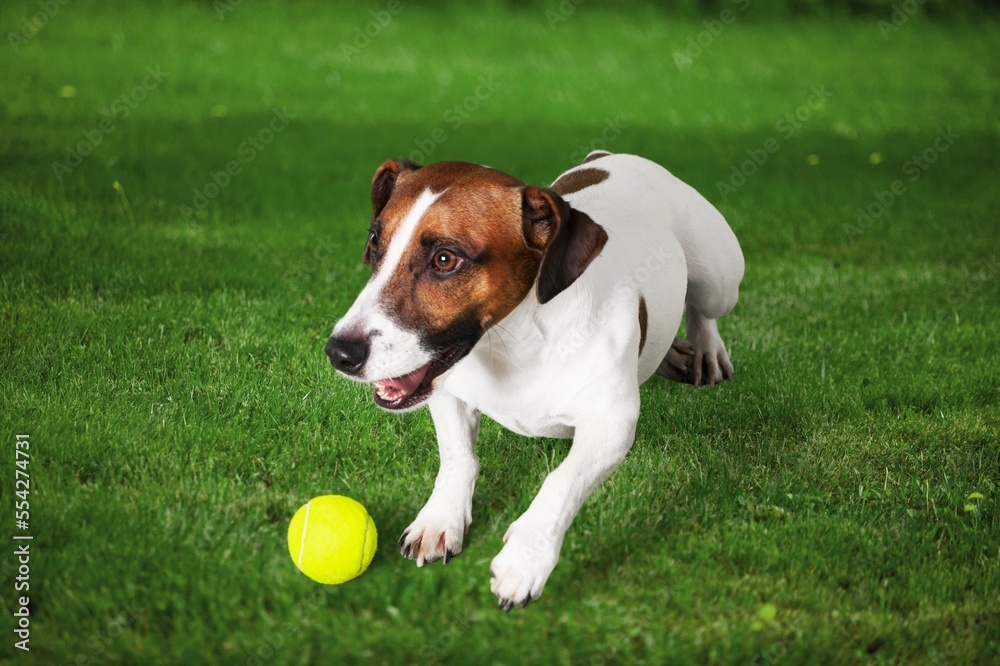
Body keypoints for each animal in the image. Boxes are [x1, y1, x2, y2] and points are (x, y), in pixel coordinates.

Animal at [326, 150, 744, 608]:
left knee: (703, 307)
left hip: (720, 279)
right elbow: (458, 456)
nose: (339, 353)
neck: (516, 343)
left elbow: (561, 480)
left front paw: (526, 557)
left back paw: (705, 349)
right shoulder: (445, 391)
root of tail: (615, 156)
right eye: (373, 244)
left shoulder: (612, 425)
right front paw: (440, 519)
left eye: (445, 259)